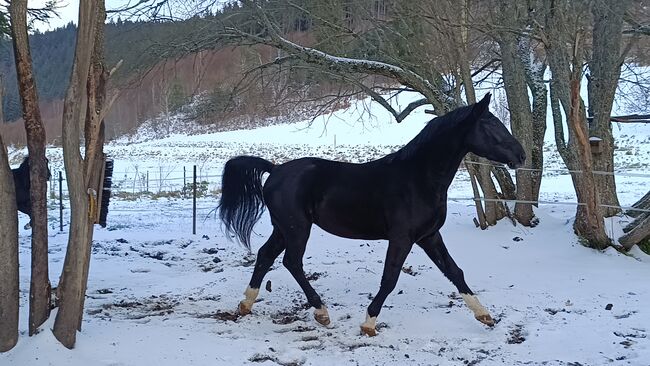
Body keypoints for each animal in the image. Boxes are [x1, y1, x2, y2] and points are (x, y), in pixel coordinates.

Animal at [220, 93, 524, 334]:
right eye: (490, 124)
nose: (520, 155)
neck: (418, 179)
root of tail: (275, 169)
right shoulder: (402, 238)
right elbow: (390, 279)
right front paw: (368, 323)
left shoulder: (429, 236)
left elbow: (455, 272)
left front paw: (485, 315)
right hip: (297, 229)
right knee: (291, 262)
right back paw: (321, 312)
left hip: (283, 228)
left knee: (265, 255)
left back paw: (246, 304)